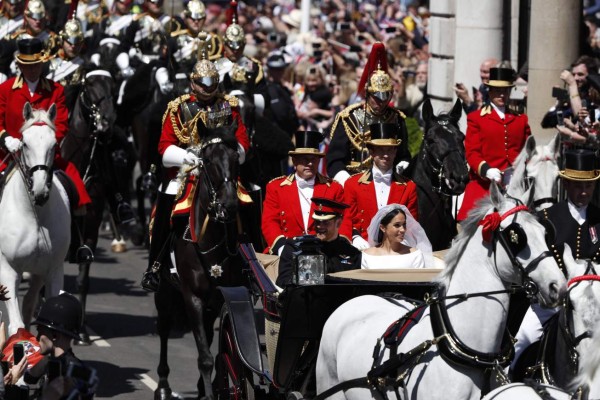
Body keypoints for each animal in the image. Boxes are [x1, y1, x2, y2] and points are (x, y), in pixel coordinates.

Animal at [0, 102, 70, 334]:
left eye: (54, 144)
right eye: (25, 143)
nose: (40, 191)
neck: (35, 216)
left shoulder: (51, 270)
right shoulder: (8, 269)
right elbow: (16, 324)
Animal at [155, 122, 246, 400]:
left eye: (235, 158)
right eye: (207, 160)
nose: (229, 205)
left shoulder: (217, 297)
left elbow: (210, 348)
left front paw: (204, 389)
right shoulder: (192, 297)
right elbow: (204, 357)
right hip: (163, 290)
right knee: (164, 327)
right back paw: (163, 385)